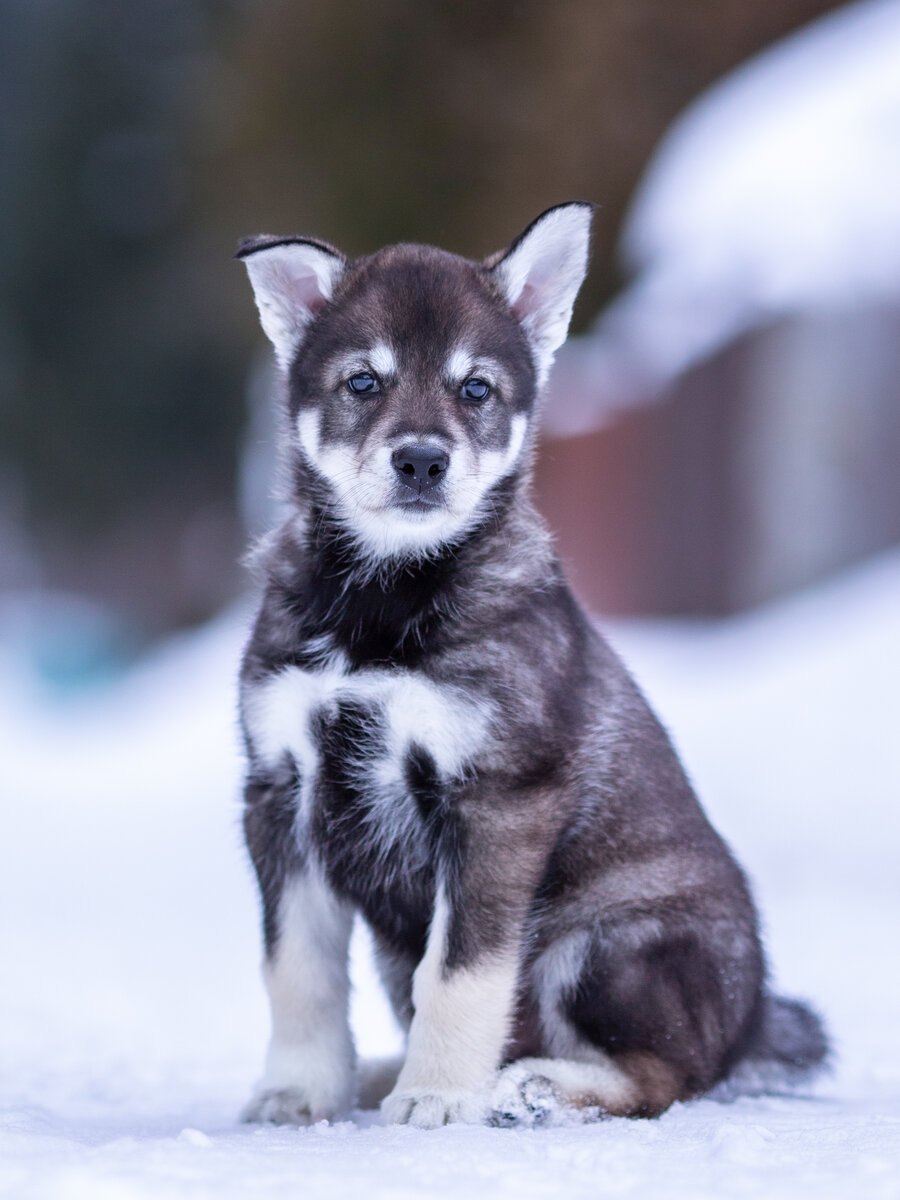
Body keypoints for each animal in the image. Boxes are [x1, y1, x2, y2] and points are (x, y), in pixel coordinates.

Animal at [236, 201, 830, 1128]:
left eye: (475, 389)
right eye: (363, 383)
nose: (422, 461)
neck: (383, 603)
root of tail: (749, 1025)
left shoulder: (498, 799)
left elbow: (464, 972)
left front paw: (440, 1095)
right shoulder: (280, 790)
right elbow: (296, 968)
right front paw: (301, 1089)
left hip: (602, 941)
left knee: (665, 1077)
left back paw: (530, 1089)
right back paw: (383, 1077)